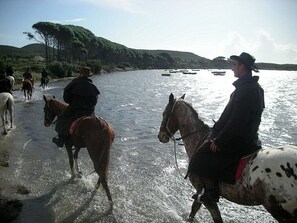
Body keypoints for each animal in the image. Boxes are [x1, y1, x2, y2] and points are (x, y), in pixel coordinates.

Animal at [157, 93, 296, 223]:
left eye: (164, 114)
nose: (160, 136)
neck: (198, 139)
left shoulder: (202, 193)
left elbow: (209, 214)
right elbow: (195, 209)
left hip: (280, 211)